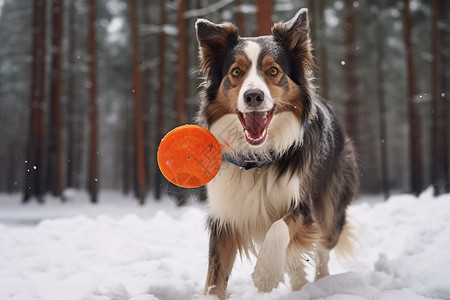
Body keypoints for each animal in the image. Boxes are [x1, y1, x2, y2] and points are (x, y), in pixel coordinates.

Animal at [195, 8, 356, 298]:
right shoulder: (226, 217)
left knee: (323, 249)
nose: (253, 96)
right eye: (236, 72)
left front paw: (265, 274)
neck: (256, 158)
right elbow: (215, 279)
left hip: (330, 208)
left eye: (273, 70)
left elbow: (279, 227)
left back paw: (322, 283)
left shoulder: (304, 206)